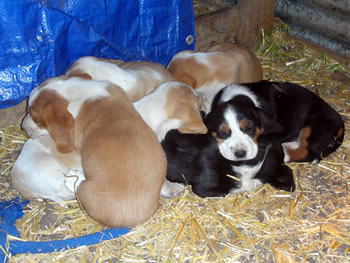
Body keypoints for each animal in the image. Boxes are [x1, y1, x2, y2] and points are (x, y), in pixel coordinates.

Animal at [21, 76, 167, 229]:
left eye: (36, 118)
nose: (23, 128)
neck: (70, 92)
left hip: (86, 191)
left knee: (78, 186)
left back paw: (73, 177)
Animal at [211, 80, 344, 163]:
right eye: (222, 133)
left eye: (250, 128)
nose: (240, 154)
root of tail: (340, 122)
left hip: (312, 128)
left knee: (307, 152)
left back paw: (285, 153)